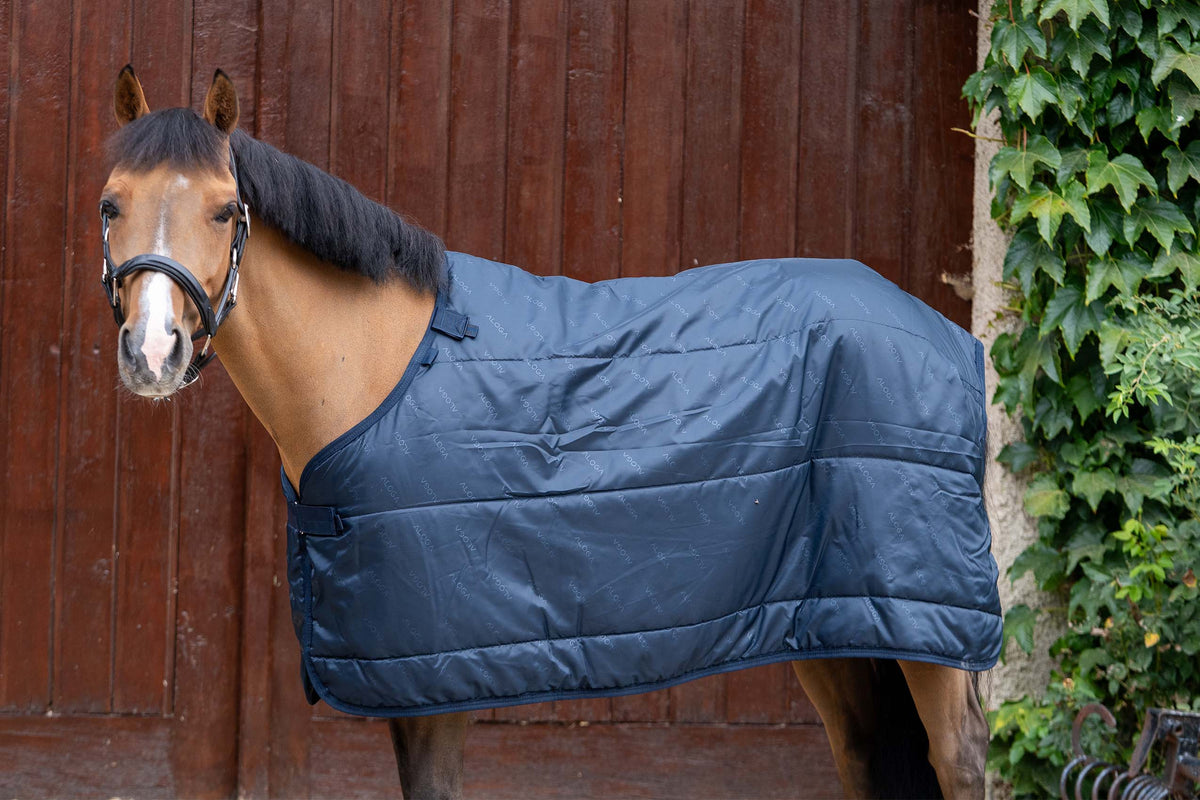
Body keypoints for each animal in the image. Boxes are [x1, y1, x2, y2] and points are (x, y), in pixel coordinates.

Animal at [99, 65, 992, 799]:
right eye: (111, 203)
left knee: (960, 759)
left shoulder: (440, 670)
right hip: (836, 624)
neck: (378, 370)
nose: (153, 352)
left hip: (927, 635)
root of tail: (950, 336)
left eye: (224, 211)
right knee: (866, 753)